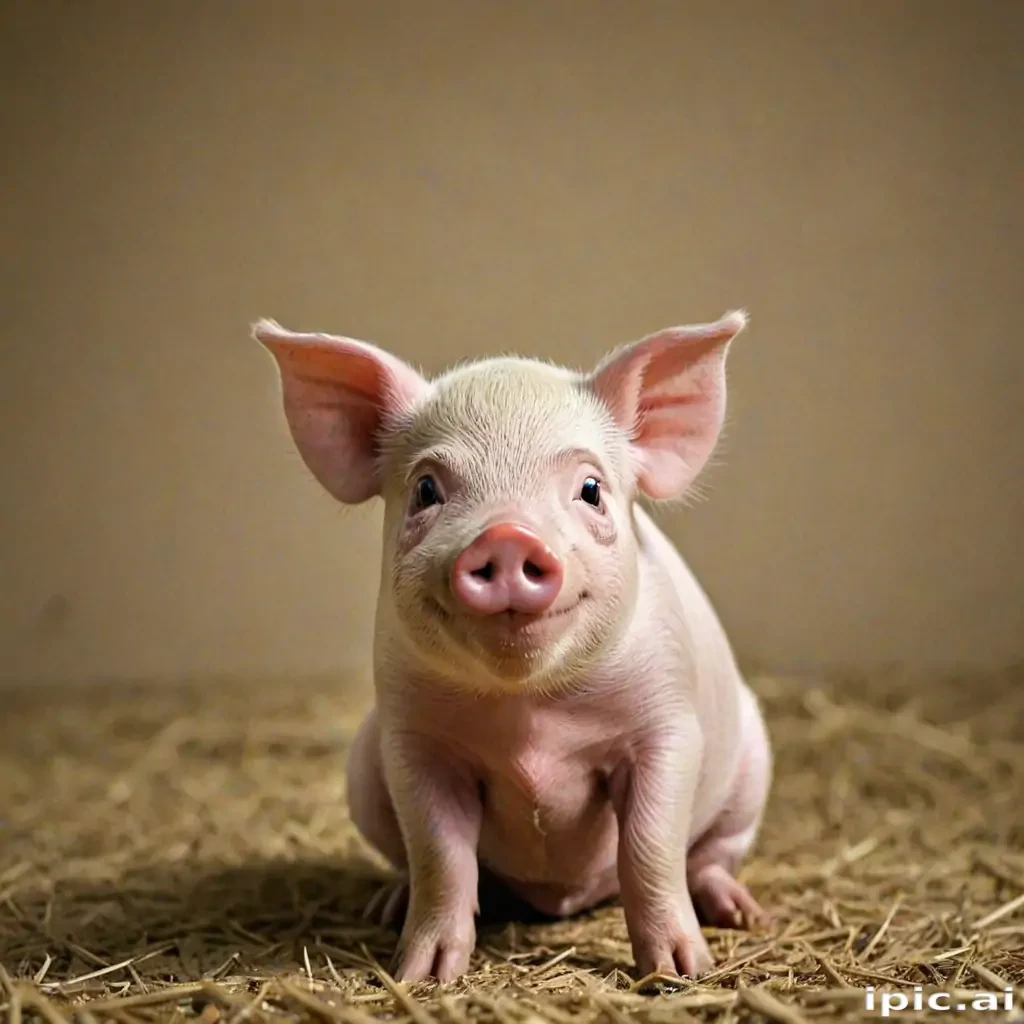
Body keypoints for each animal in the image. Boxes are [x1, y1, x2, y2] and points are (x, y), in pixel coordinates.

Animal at [253, 310, 771, 984]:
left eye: (590, 489)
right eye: (426, 489)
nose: (506, 535)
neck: (530, 717)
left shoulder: (667, 726)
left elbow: (650, 846)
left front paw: (681, 972)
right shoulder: (415, 743)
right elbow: (439, 856)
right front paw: (421, 974)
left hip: (751, 767)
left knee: (710, 855)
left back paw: (743, 913)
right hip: (364, 771)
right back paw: (384, 907)